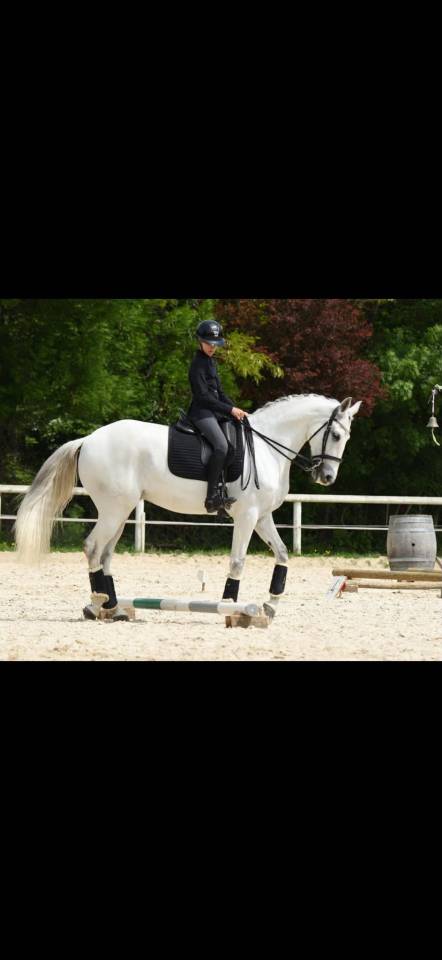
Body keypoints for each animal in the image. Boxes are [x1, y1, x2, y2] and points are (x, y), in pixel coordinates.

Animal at [14, 394, 362, 620]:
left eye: (347, 437)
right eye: (334, 434)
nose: (327, 477)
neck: (267, 447)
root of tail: (88, 439)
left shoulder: (263, 517)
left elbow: (283, 554)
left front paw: (272, 603)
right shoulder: (247, 515)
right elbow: (237, 561)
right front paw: (229, 604)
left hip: (122, 511)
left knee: (105, 554)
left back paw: (109, 606)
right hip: (114, 510)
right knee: (92, 547)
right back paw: (100, 601)